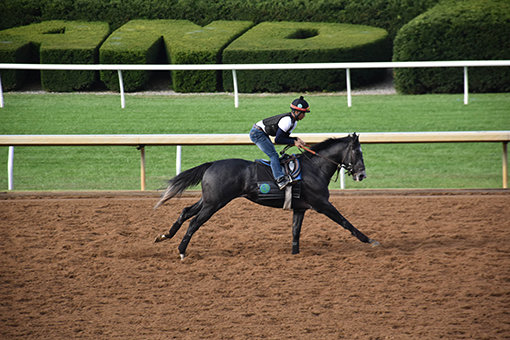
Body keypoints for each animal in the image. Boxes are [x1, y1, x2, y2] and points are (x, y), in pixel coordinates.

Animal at [153, 133, 376, 258]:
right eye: (358, 152)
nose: (362, 175)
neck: (314, 168)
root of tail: (212, 164)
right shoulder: (322, 204)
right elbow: (345, 222)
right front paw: (370, 240)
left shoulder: (300, 208)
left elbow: (295, 232)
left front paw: (295, 254)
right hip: (214, 203)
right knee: (194, 222)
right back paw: (182, 250)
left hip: (208, 200)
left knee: (185, 211)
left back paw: (164, 236)